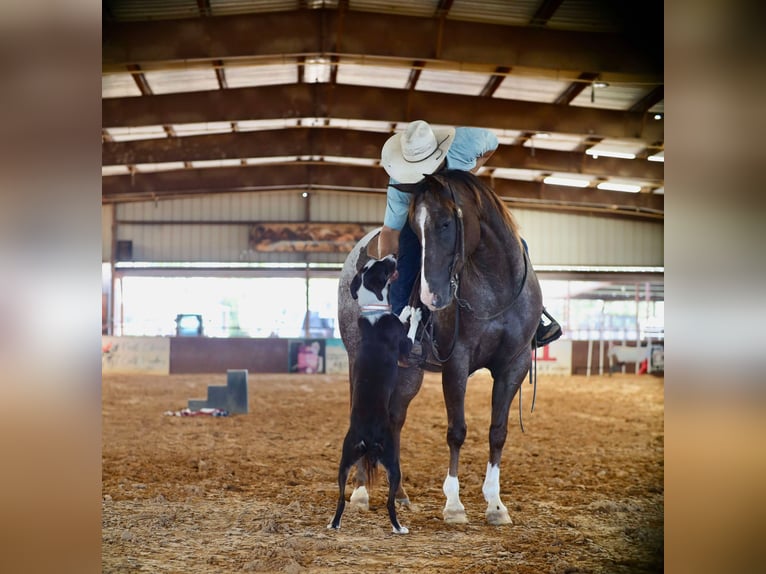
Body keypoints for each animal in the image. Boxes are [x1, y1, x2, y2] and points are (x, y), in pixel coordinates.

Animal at [328, 256, 424, 536]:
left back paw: (334, 523)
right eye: (383, 266)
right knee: (391, 502)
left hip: (344, 462)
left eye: (375, 263)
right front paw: (412, 313)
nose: (393, 257)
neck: (373, 310)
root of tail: (366, 438)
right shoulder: (404, 351)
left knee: (340, 498)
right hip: (391, 461)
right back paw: (399, 527)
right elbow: (407, 328)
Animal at [340, 171, 544, 528]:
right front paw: (454, 504)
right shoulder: (456, 362)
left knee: (394, 419)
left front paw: (496, 505)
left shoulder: (515, 364)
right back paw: (361, 492)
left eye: (447, 223)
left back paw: (400, 494)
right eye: (414, 227)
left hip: (408, 373)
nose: (430, 296)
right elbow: (457, 431)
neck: (496, 288)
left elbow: (498, 432)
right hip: (359, 362)